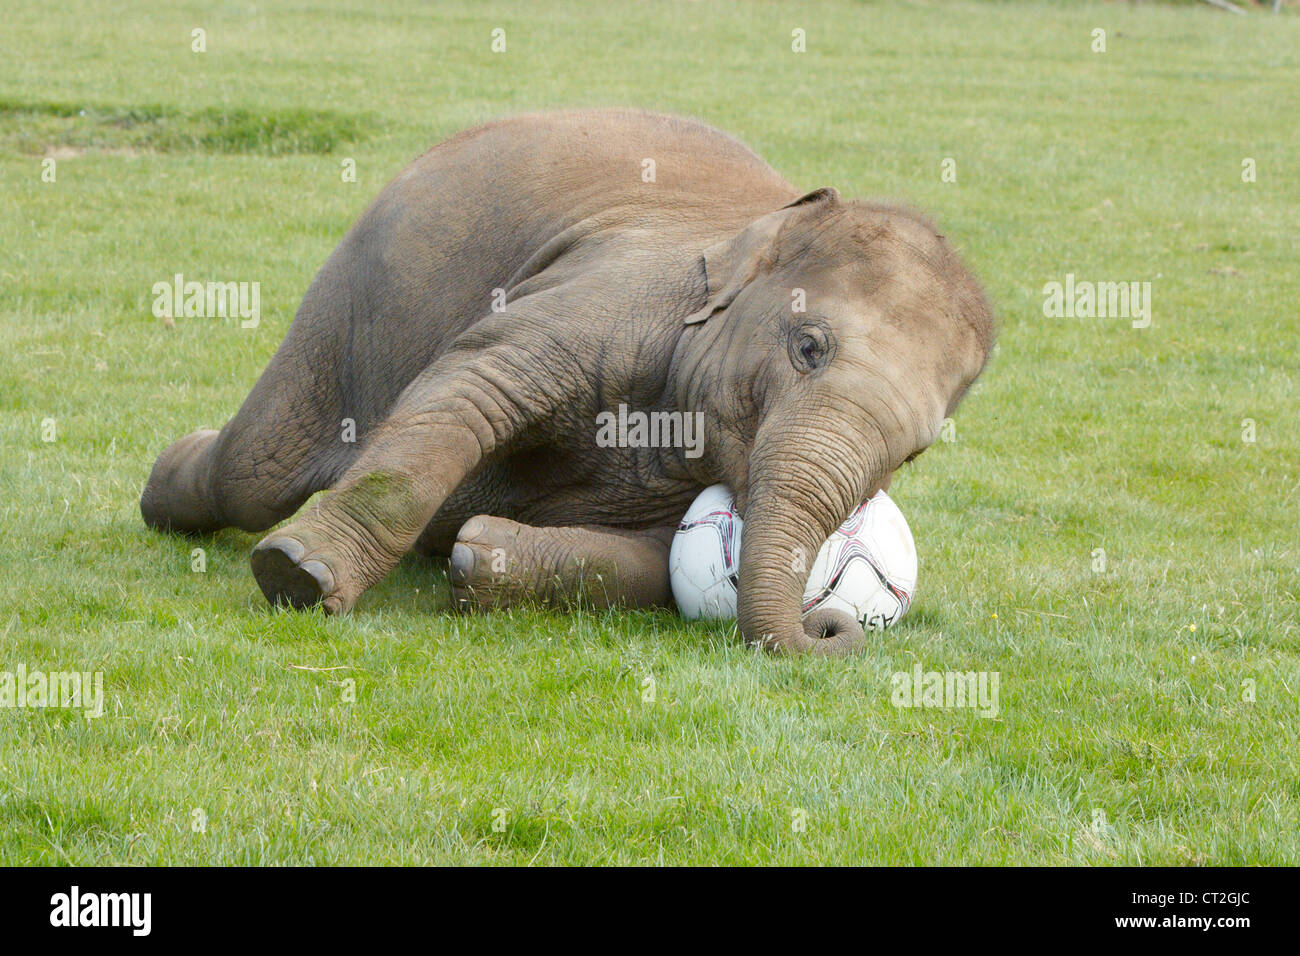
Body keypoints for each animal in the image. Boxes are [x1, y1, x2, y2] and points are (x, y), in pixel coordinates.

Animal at [139, 108, 993, 655]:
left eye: (912, 455)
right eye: (807, 346)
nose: (831, 622)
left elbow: (656, 562)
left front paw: (478, 558)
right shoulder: (612, 296)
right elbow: (472, 384)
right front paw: (298, 578)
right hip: (351, 292)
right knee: (255, 469)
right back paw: (170, 482)